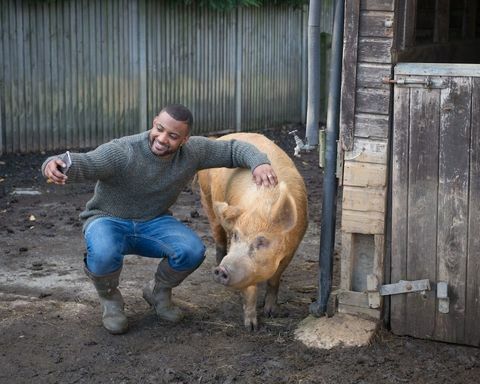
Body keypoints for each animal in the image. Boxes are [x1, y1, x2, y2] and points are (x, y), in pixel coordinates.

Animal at [198, 133, 308, 330]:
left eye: (262, 241)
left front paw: (271, 313)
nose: (222, 270)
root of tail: (220, 138)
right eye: (236, 235)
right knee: (219, 237)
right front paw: (251, 327)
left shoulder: (293, 247)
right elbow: (249, 288)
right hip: (207, 198)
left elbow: (274, 279)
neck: (262, 205)